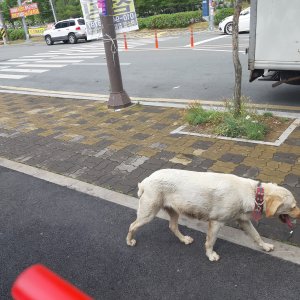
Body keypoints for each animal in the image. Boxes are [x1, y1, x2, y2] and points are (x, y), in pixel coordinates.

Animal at [126, 170, 300, 262]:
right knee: (132, 225)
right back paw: (129, 241)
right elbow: (210, 242)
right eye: (293, 207)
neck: (253, 193)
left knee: (172, 226)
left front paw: (265, 246)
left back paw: (184, 239)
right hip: (148, 214)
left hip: (174, 211)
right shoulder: (216, 222)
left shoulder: (243, 221)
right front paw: (210, 255)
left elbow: (256, 236)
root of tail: (146, 180)